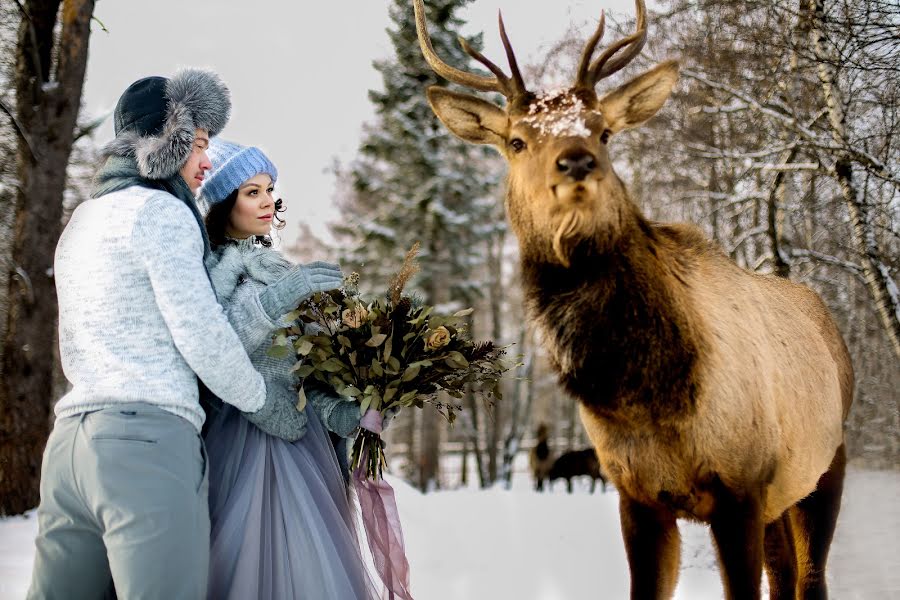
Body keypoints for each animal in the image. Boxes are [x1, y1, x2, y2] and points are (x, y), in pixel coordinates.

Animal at [412, 2, 856, 596]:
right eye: (516, 141)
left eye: (604, 131)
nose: (577, 162)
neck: (642, 396)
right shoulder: (636, 494)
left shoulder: (740, 486)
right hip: (782, 496)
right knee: (786, 572)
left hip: (826, 463)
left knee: (810, 576)